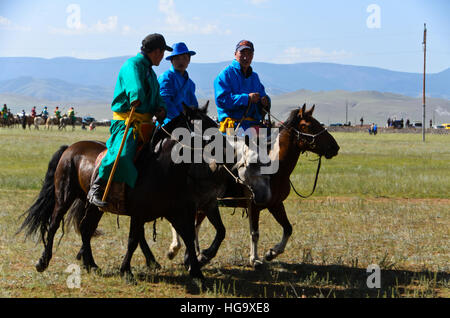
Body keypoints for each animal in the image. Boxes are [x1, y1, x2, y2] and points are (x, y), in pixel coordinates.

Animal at [169, 105, 342, 268]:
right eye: (308, 125)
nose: (335, 147)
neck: (275, 168)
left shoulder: (275, 204)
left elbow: (288, 228)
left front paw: (271, 253)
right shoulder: (254, 205)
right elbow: (255, 232)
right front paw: (255, 259)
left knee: (194, 226)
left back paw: (193, 253)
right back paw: (179, 249)